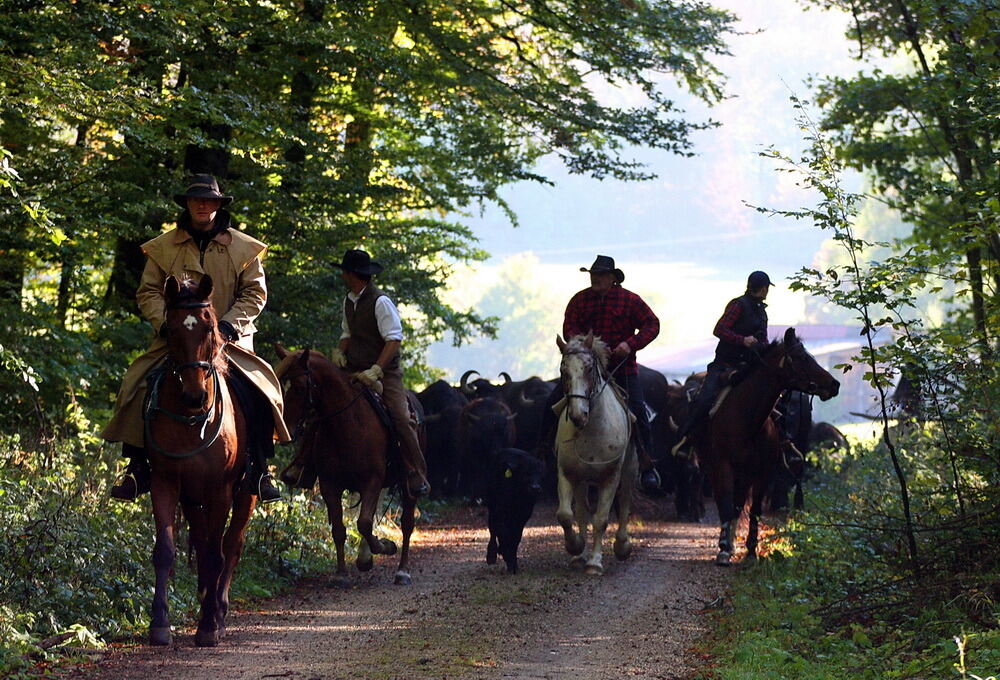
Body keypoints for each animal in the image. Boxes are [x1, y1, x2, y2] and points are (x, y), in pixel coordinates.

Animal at [146, 274, 256, 644]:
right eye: (170, 329)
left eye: (210, 327)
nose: (194, 396)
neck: (191, 420)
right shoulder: (164, 482)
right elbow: (165, 550)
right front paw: (160, 623)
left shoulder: (221, 488)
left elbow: (215, 553)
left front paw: (208, 626)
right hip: (193, 497)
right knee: (203, 534)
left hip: (246, 493)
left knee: (231, 544)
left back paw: (218, 609)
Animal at [274, 348, 418, 588]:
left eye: (301, 387)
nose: (283, 431)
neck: (348, 424)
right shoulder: (330, 485)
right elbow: (340, 530)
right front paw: (341, 574)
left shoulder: (372, 482)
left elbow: (364, 523)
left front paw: (384, 546)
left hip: (408, 487)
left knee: (407, 523)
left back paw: (403, 571)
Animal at [552, 334, 636, 572]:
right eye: (563, 370)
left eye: (589, 369)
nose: (578, 415)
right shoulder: (567, 473)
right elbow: (566, 515)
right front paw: (575, 546)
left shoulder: (611, 476)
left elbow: (601, 519)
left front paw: (595, 562)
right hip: (582, 480)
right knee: (581, 511)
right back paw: (580, 555)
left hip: (629, 470)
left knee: (624, 503)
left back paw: (622, 546)